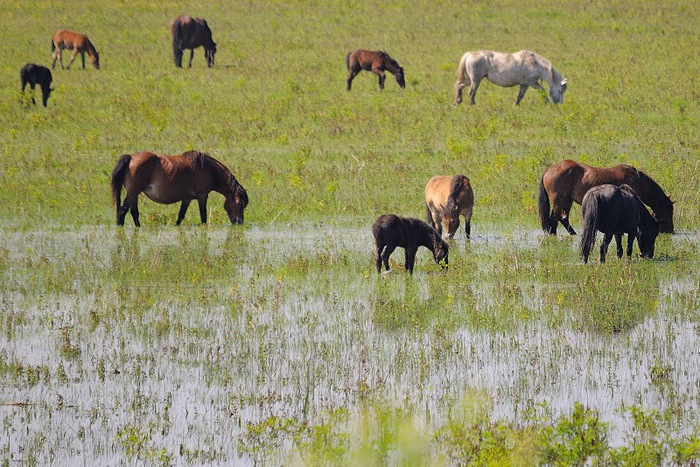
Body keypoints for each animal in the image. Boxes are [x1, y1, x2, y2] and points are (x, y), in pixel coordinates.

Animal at [110, 151, 249, 228]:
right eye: (239, 204)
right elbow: (203, 216)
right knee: (122, 211)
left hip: (134, 194)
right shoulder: (202, 196)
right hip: (133, 193)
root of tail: (131, 157)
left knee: (133, 212)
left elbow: (180, 216)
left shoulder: (187, 199)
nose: (239, 222)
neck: (206, 168)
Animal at [540, 160, 676, 234]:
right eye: (669, 212)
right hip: (560, 200)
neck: (638, 181)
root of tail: (549, 169)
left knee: (562, 218)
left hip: (567, 201)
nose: (670, 231)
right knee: (555, 219)